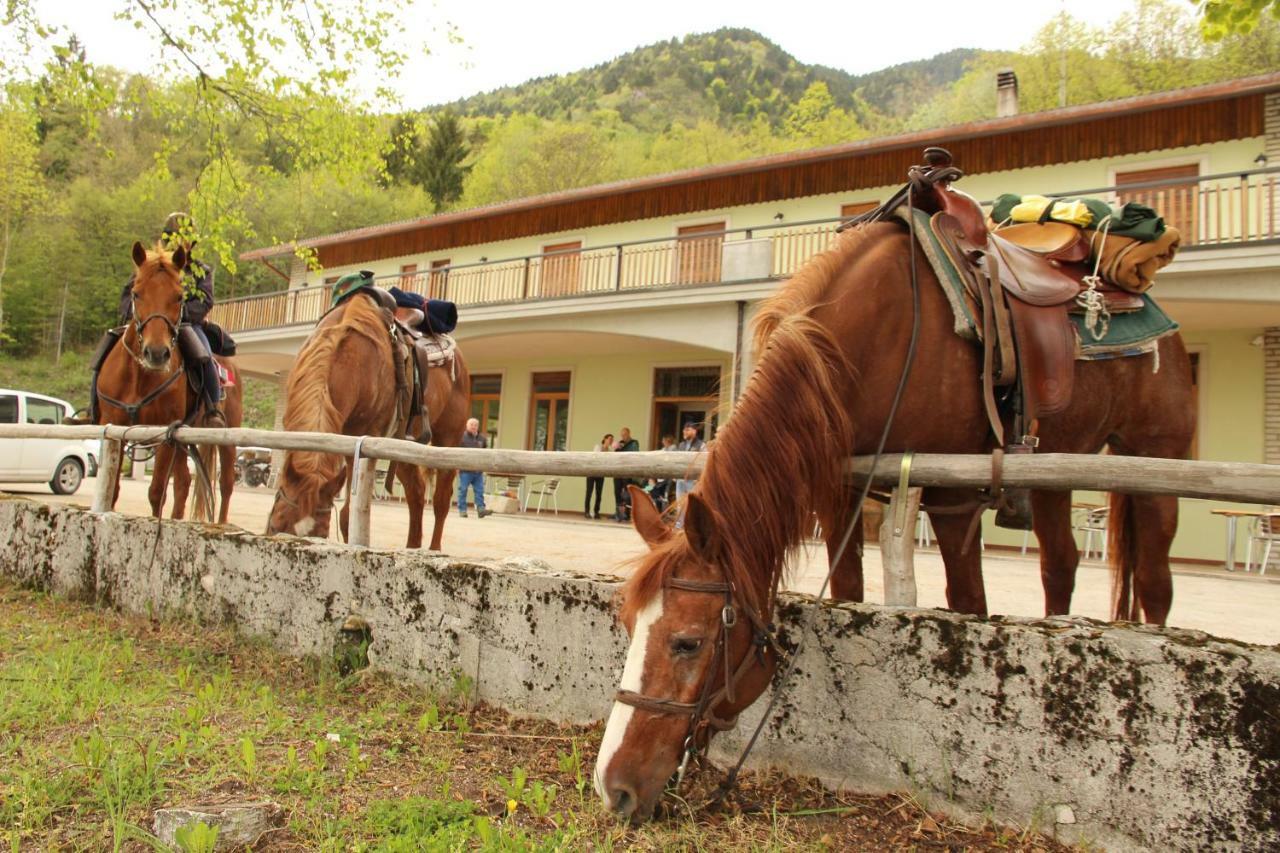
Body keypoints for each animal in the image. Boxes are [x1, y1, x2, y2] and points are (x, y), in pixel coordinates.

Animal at [97, 239, 244, 517]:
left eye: (179, 297)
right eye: (136, 293)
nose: (156, 353)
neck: (139, 376)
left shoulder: (165, 433)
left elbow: (156, 493)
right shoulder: (116, 429)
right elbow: (114, 491)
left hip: (227, 433)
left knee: (227, 484)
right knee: (184, 482)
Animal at [264, 275, 471, 548]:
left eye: (320, 535)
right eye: (276, 526)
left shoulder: (362, 440)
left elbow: (347, 517)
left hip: (448, 438)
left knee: (441, 501)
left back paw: (432, 550)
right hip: (403, 443)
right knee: (416, 493)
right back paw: (411, 547)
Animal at [593, 149, 1192, 819]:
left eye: (688, 643)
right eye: (627, 626)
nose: (613, 787)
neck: (878, 337)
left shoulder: (954, 498)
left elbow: (967, 603)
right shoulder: (844, 496)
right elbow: (851, 592)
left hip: (1156, 457)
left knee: (1156, 582)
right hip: (1055, 472)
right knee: (1059, 565)